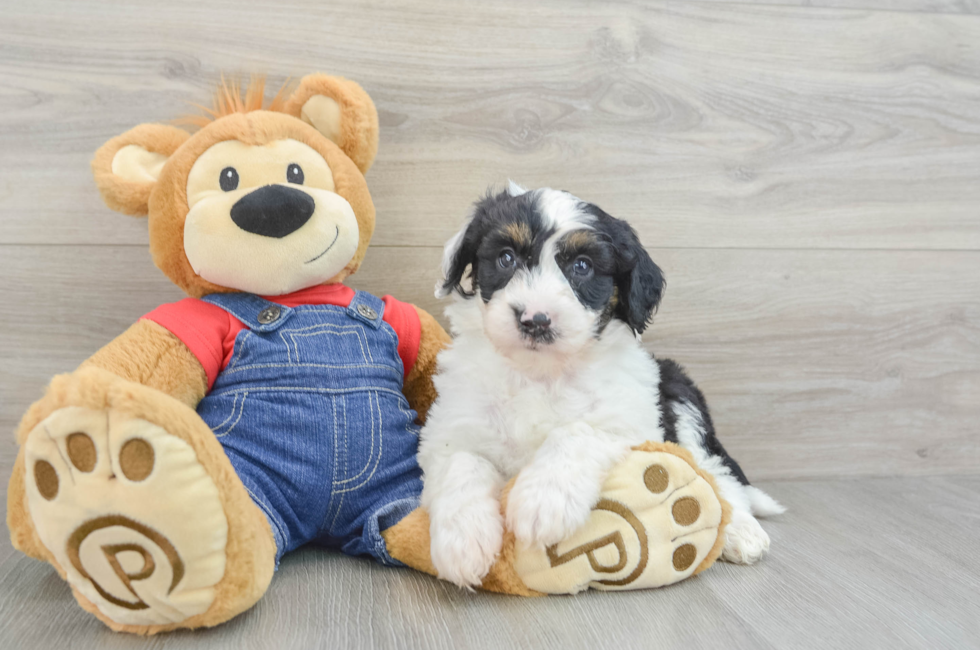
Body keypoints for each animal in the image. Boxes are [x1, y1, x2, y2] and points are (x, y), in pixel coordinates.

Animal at [418, 184, 784, 588]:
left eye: (582, 266)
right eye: (506, 258)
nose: (535, 320)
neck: (540, 372)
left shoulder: (629, 417)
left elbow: (577, 431)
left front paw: (543, 501)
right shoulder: (451, 426)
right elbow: (460, 462)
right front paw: (464, 541)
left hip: (680, 395)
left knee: (718, 475)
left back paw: (741, 532)